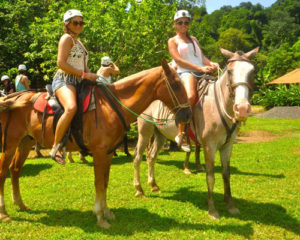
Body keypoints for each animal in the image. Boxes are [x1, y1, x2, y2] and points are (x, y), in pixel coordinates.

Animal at [0, 59, 192, 228]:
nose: (187, 114)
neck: (111, 106)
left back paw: (20, 204)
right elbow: (99, 183)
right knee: (3, 173)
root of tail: (13, 98)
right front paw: (100, 217)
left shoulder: (108, 153)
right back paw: (4, 213)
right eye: (176, 85)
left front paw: (106, 212)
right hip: (9, 144)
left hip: (25, 142)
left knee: (15, 170)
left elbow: (105, 182)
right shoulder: (99, 153)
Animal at [132, 47, 258, 219]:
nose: (243, 109)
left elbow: (226, 174)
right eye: (230, 71)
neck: (218, 106)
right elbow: (210, 177)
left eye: (252, 71)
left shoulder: (227, 146)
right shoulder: (209, 146)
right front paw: (212, 209)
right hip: (145, 131)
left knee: (151, 157)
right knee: (138, 157)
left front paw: (230, 204)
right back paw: (139, 189)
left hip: (160, 134)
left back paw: (154, 185)